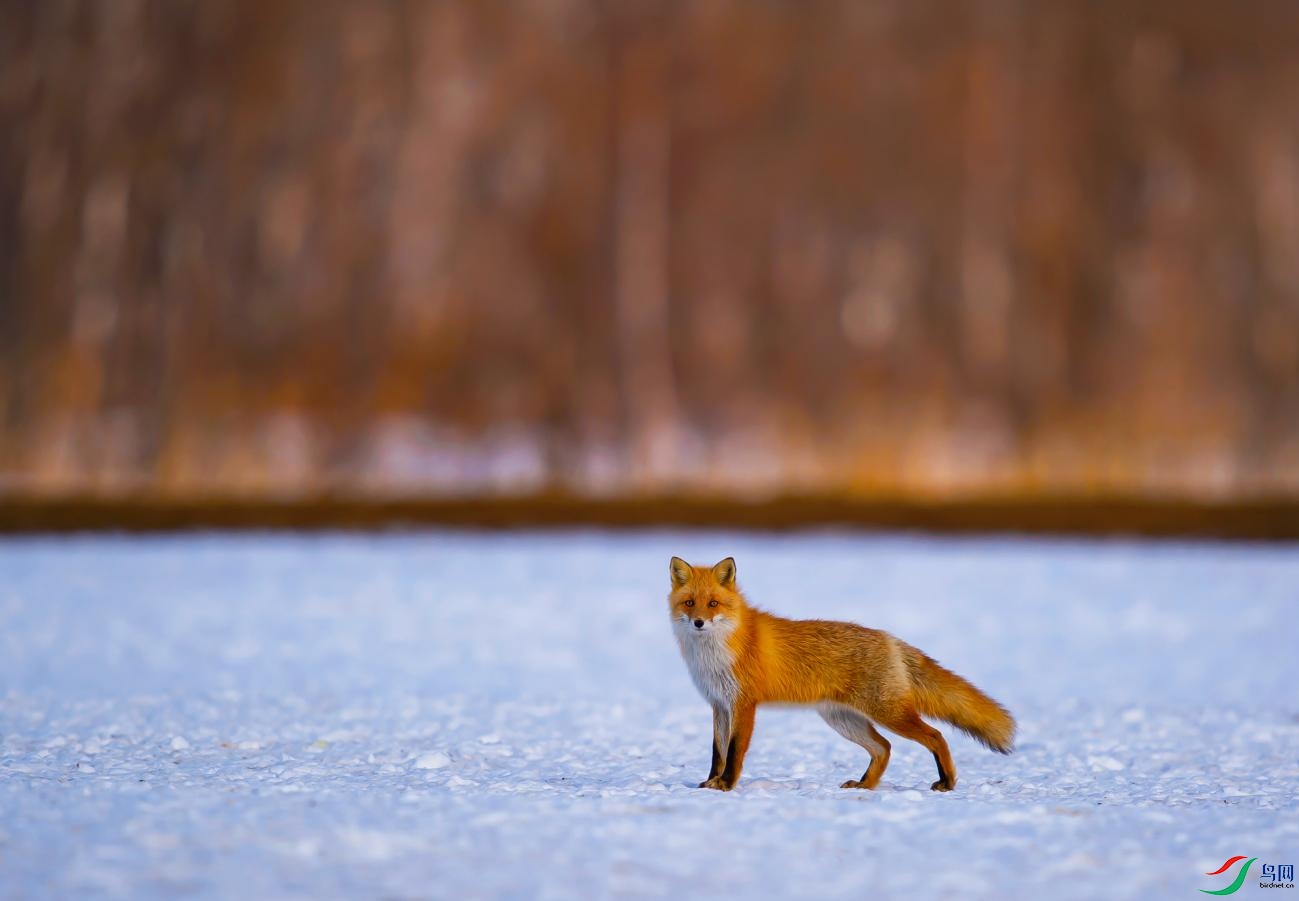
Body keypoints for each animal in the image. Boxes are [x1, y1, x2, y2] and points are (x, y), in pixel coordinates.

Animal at [668, 556, 1015, 792]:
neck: (716, 652)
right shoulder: (719, 704)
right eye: (690, 603)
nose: (699, 622)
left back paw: (947, 782)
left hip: (887, 713)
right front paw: (711, 781)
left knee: (935, 736)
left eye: (714, 603)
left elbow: (734, 751)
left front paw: (726, 785)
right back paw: (864, 786)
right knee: (884, 748)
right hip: (843, 719)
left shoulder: (744, 704)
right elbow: (718, 752)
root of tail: (889, 638)